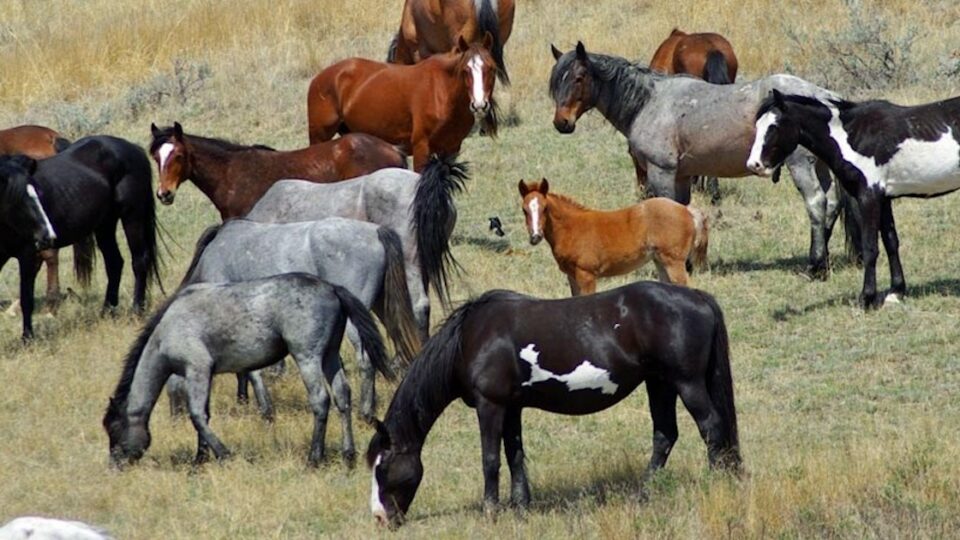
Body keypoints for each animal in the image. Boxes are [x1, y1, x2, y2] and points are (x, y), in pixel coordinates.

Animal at [104, 273, 392, 467]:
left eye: (114, 429)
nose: (115, 465)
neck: (168, 328)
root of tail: (331, 287)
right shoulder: (202, 375)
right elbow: (203, 415)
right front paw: (201, 457)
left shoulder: (197, 369)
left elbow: (196, 415)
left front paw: (222, 454)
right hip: (330, 356)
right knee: (343, 396)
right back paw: (348, 454)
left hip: (308, 357)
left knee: (321, 400)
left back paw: (314, 457)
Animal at [307, 34, 498, 172]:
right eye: (466, 70)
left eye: (491, 68)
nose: (479, 104)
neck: (442, 91)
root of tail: (319, 78)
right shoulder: (421, 147)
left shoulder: (452, 149)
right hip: (319, 138)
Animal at [366, 281, 741, 528]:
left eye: (382, 469)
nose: (381, 518)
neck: (472, 338)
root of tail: (697, 297)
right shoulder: (512, 407)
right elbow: (514, 455)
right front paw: (520, 507)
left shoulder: (491, 406)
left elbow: (490, 460)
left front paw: (491, 513)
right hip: (660, 383)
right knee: (665, 435)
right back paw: (643, 495)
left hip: (686, 382)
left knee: (712, 427)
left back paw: (716, 485)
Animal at [518, 179, 708, 295]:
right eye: (524, 210)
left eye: (544, 208)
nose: (535, 236)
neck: (571, 228)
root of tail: (686, 209)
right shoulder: (571, 275)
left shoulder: (587, 275)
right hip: (660, 261)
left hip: (674, 261)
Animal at [748, 89, 960, 309]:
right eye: (757, 126)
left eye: (774, 126)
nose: (754, 165)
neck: (850, 137)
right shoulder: (884, 198)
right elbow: (891, 242)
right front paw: (895, 293)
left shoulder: (869, 197)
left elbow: (870, 248)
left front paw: (866, 298)